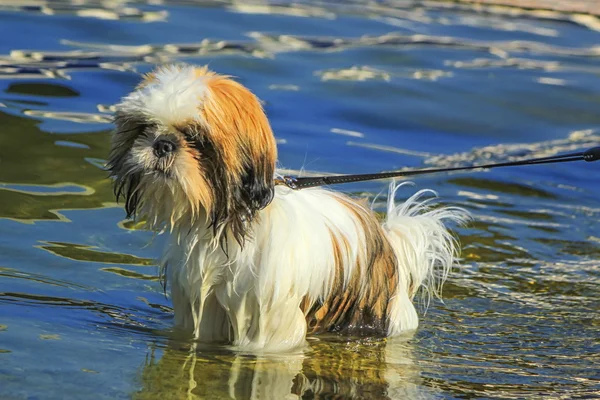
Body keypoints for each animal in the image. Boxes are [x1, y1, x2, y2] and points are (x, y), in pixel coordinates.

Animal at [108, 64, 466, 352]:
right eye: (144, 128)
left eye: (196, 138)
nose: (162, 145)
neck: (229, 226)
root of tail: (389, 241)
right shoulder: (202, 305)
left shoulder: (268, 315)